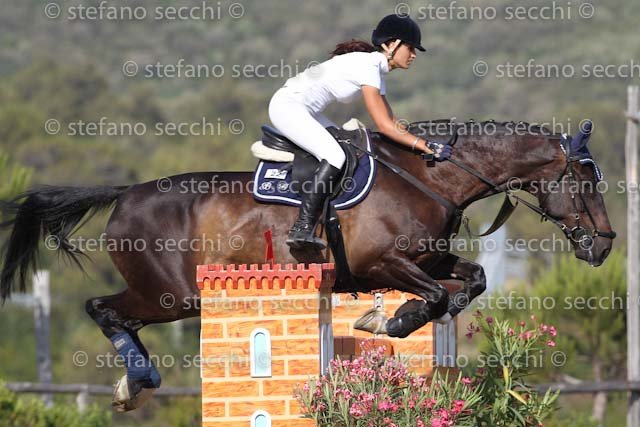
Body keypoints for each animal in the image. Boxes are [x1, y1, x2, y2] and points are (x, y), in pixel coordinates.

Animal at [0, 120, 615, 411]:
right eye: (585, 182)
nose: (605, 245)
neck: (431, 177)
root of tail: (125, 193)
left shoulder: (427, 258)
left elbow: (471, 281)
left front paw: (393, 319)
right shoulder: (381, 263)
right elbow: (438, 295)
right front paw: (392, 320)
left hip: (168, 298)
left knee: (113, 314)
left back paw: (134, 383)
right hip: (170, 295)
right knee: (103, 308)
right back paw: (139, 381)